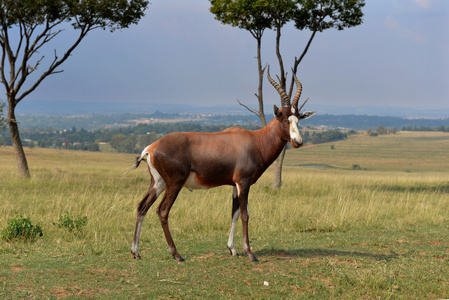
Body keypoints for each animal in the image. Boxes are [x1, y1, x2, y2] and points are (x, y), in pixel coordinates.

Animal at [130, 69, 316, 262]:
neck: (255, 140)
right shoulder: (243, 182)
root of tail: (151, 148)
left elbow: (234, 214)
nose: (298, 142)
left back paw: (136, 252)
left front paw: (232, 249)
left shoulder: (235, 184)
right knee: (162, 211)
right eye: (284, 118)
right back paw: (176, 254)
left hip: (158, 183)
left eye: (298, 119)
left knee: (142, 207)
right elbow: (245, 214)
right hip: (174, 183)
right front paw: (250, 253)